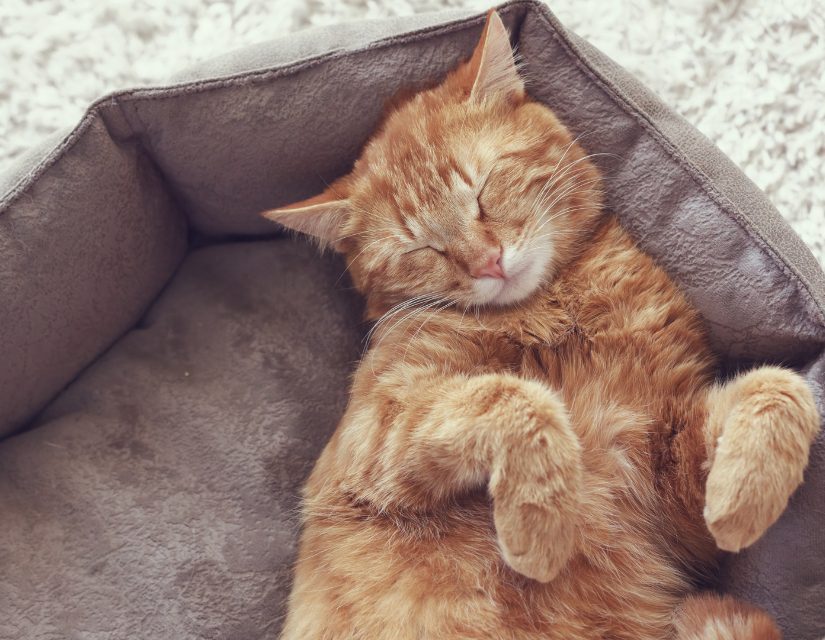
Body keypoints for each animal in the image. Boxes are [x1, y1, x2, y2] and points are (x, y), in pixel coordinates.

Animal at [262, 11, 816, 640]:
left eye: (483, 189)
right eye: (420, 249)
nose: (487, 263)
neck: (555, 307)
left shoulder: (669, 476)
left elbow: (782, 387)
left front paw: (742, 502)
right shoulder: (377, 433)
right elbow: (519, 399)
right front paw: (544, 526)